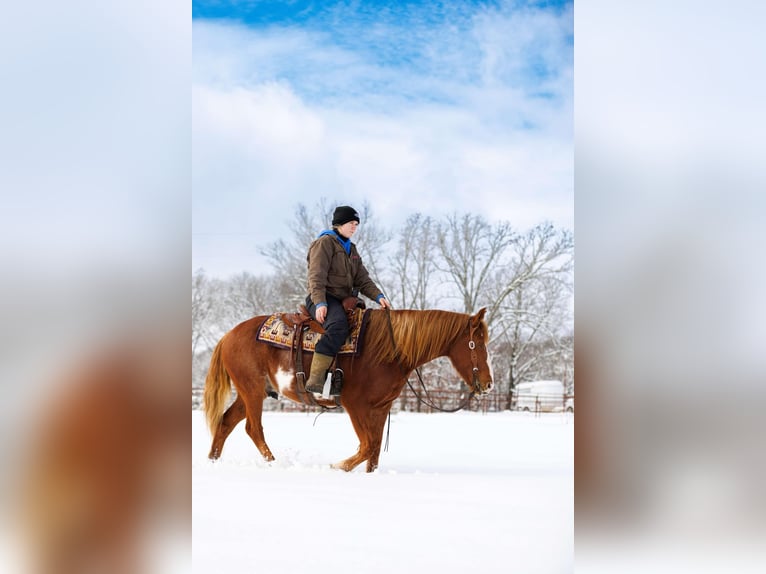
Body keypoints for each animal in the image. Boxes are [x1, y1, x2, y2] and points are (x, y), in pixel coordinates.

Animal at [203, 307, 494, 473]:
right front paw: (338, 466)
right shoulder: (355, 406)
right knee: (253, 429)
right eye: (475, 344)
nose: (489, 384)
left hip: (253, 392)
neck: (389, 349)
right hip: (252, 390)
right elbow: (366, 447)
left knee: (226, 423)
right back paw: (275, 463)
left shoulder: (380, 409)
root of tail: (228, 335)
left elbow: (373, 452)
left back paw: (212, 461)